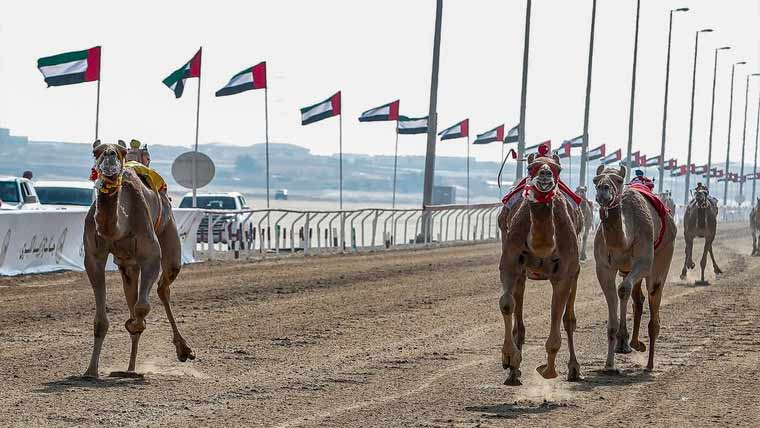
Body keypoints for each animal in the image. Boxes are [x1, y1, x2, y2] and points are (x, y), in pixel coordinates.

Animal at [82, 140, 196, 378]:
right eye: (96, 151)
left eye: (121, 152)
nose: (110, 156)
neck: (118, 227)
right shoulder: (93, 257)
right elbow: (101, 320)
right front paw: (90, 370)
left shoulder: (150, 254)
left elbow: (142, 307)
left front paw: (134, 324)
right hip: (128, 266)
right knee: (135, 295)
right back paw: (130, 368)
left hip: (168, 232)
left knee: (163, 287)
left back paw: (183, 350)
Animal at [498, 145, 580, 386]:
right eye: (531, 167)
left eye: (557, 169)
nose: (545, 175)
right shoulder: (510, 263)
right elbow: (506, 303)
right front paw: (509, 358)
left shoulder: (565, 273)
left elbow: (557, 314)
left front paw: (548, 370)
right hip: (523, 275)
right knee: (519, 317)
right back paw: (513, 373)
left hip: (576, 273)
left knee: (569, 319)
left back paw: (574, 369)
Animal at [592, 164, 676, 372]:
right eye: (595, 180)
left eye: (618, 180)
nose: (603, 190)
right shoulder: (603, 268)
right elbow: (616, 307)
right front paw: (609, 365)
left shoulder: (644, 261)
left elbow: (623, 290)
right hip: (627, 269)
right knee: (637, 298)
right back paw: (631, 343)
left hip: (664, 254)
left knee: (653, 297)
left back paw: (649, 364)